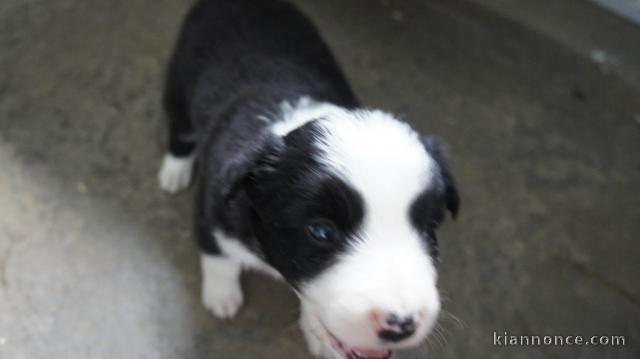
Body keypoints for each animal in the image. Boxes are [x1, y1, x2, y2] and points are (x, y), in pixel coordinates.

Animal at [160, 0, 460, 359]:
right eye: (322, 232)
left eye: (428, 230)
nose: (401, 324)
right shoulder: (211, 213)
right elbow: (219, 259)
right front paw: (222, 297)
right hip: (178, 83)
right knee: (180, 129)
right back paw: (174, 170)